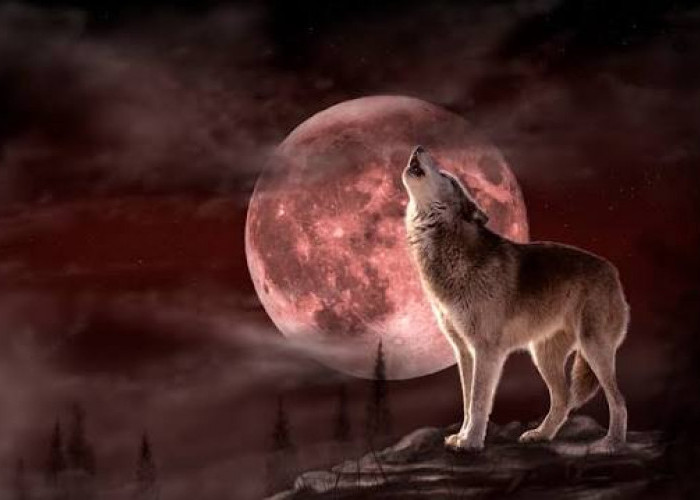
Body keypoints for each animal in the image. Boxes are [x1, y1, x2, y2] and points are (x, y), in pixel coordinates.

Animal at [402, 146, 629, 453]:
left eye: (447, 176)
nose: (419, 148)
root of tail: (613, 270)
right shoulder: (464, 351)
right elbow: (466, 401)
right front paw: (461, 436)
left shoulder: (486, 350)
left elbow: (478, 401)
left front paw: (471, 441)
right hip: (543, 356)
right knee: (562, 400)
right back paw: (541, 435)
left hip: (594, 349)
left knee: (618, 401)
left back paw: (611, 444)